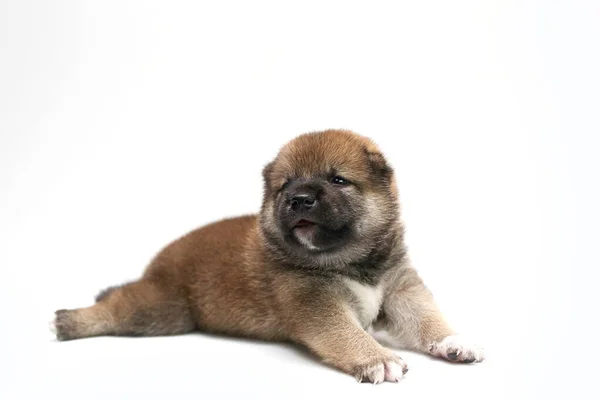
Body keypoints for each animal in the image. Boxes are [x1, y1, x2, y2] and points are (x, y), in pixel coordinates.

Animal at [50, 130, 482, 382]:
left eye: (337, 179)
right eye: (285, 185)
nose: (299, 199)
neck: (353, 261)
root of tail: (158, 263)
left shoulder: (400, 288)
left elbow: (425, 318)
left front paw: (452, 341)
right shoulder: (315, 302)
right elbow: (346, 333)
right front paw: (375, 357)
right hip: (162, 310)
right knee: (118, 307)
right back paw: (71, 320)